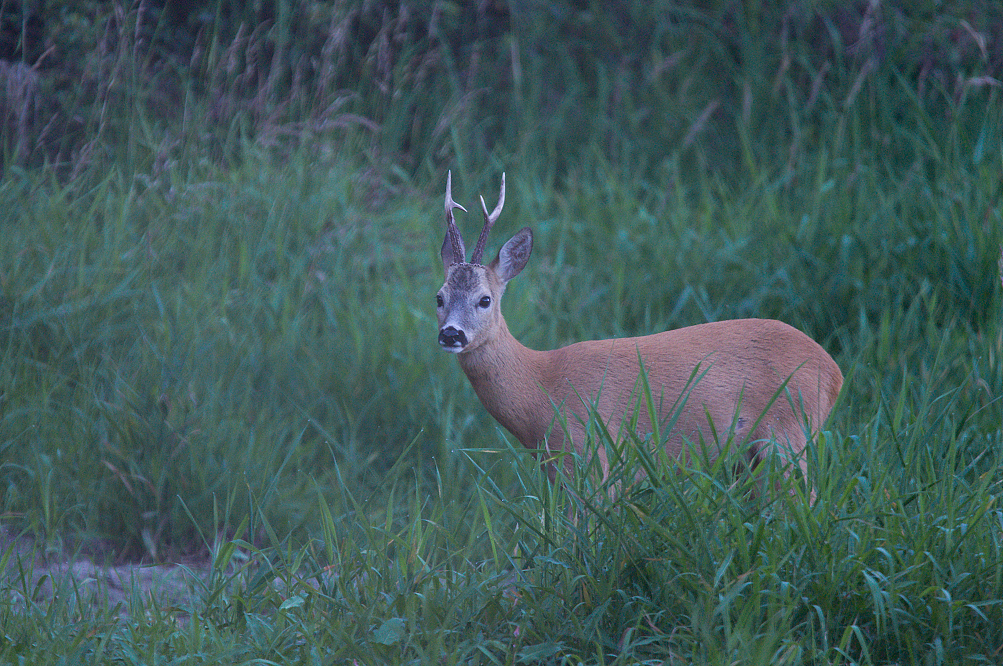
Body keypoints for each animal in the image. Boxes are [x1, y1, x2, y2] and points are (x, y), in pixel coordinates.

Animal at [435, 171, 842, 499]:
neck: (541, 388)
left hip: (789, 432)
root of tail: (834, 371)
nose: (451, 334)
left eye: (484, 299)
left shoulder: (595, 456)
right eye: (439, 297)